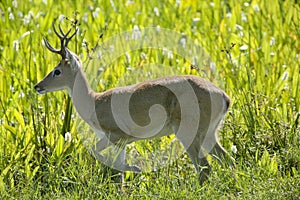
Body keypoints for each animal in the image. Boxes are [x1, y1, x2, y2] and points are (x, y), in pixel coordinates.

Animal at [34, 21, 233, 184]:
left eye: (57, 71)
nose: (37, 86)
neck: (94, 101)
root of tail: (223, 96)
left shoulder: (116, 136)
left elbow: (101, 156)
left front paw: (136, 168)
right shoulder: (121, 142)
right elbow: (118, 176)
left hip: (188, 133)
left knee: (204, 167)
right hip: (209, 134)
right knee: (227, 160)